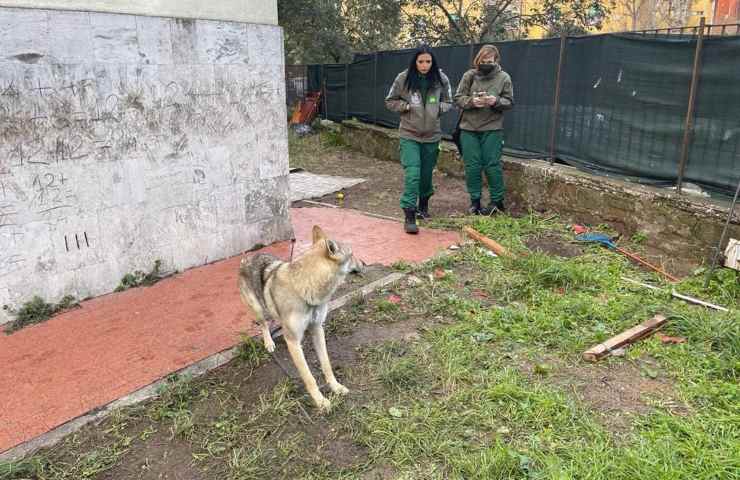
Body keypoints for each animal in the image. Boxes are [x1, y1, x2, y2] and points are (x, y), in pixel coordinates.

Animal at [237, 225, 364, 408]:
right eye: (352, 254)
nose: (364, 263)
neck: (305, 288)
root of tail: (247, 258)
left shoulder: (317, 329)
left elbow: (326, 365)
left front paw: (336, 387)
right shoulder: (293, 341)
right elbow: (309, 377)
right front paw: (320, 401)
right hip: (258, 309)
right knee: (264, 325)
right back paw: (269, 342)